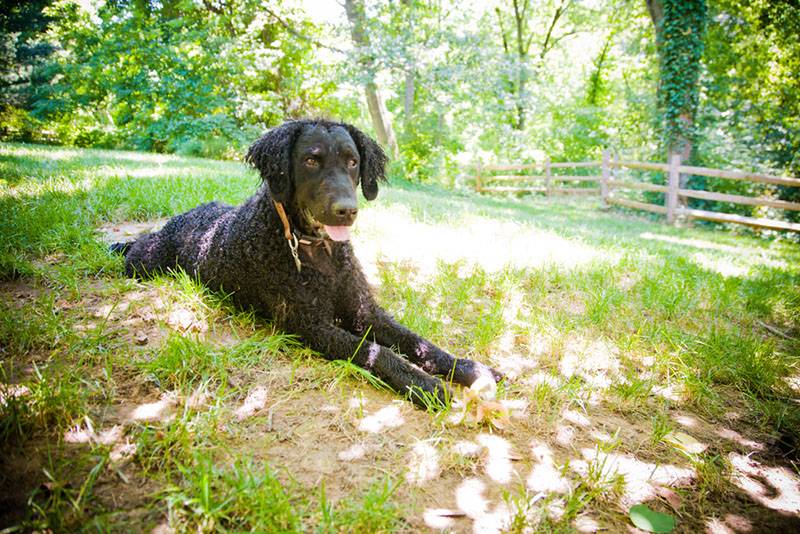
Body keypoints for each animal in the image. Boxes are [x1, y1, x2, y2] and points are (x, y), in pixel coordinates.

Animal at [114, 120, 500, 406]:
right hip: (145, 262)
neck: (317, 250)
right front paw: (426, 386)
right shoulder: (311, 325)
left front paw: (470, 368)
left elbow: (419, 343)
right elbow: (378, 353)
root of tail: (187, 216)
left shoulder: (366, 312)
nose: (347, 210)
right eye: (311, 160)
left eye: (353, 161)